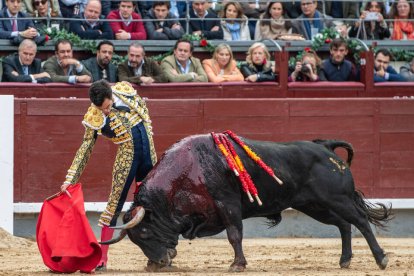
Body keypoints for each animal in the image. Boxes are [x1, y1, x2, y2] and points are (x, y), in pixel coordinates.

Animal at [102, 134, 392, 272]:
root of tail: (325, 146)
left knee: (360, 221)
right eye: (136, 240)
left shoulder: (228, 204)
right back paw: (345, 260)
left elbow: (234, 234)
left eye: (145, 233)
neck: (189, 169)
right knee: (344, 225)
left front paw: (237, 264)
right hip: (315, 206)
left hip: (337, 199)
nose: (158, 262)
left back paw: (381, 259)